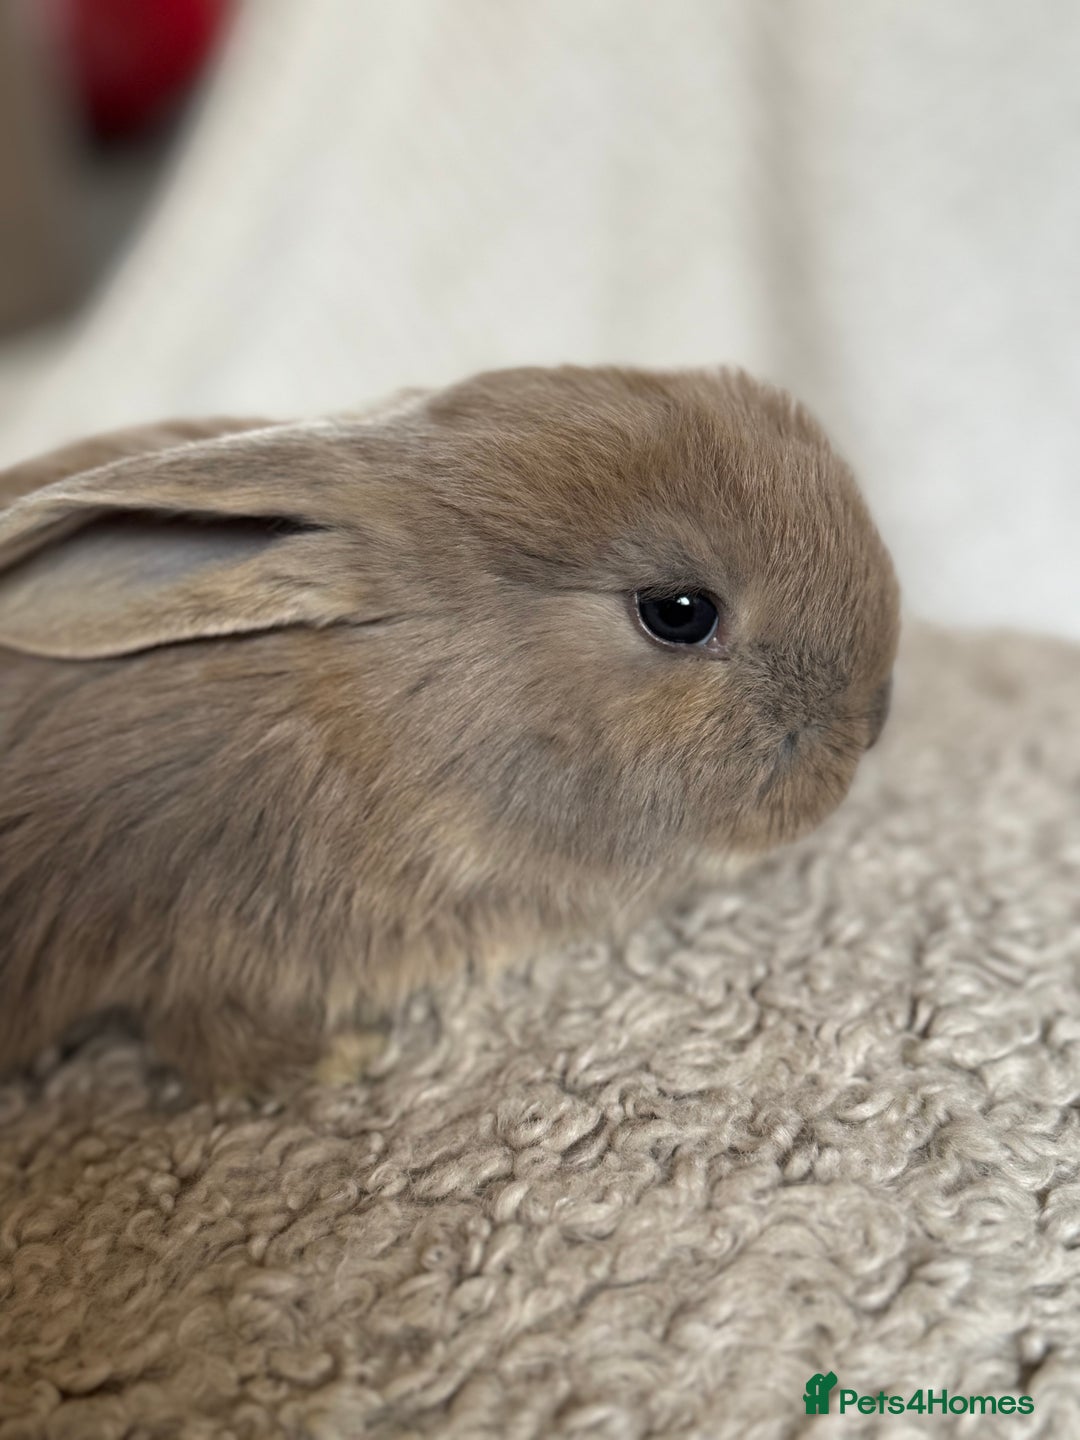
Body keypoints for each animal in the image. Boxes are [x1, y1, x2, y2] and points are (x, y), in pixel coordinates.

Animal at [0, 365, 900, 1093]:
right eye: (679, 613)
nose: (874, 723)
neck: (386, 707)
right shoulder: (193, 934)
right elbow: (205, 1038)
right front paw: (345, 1059)